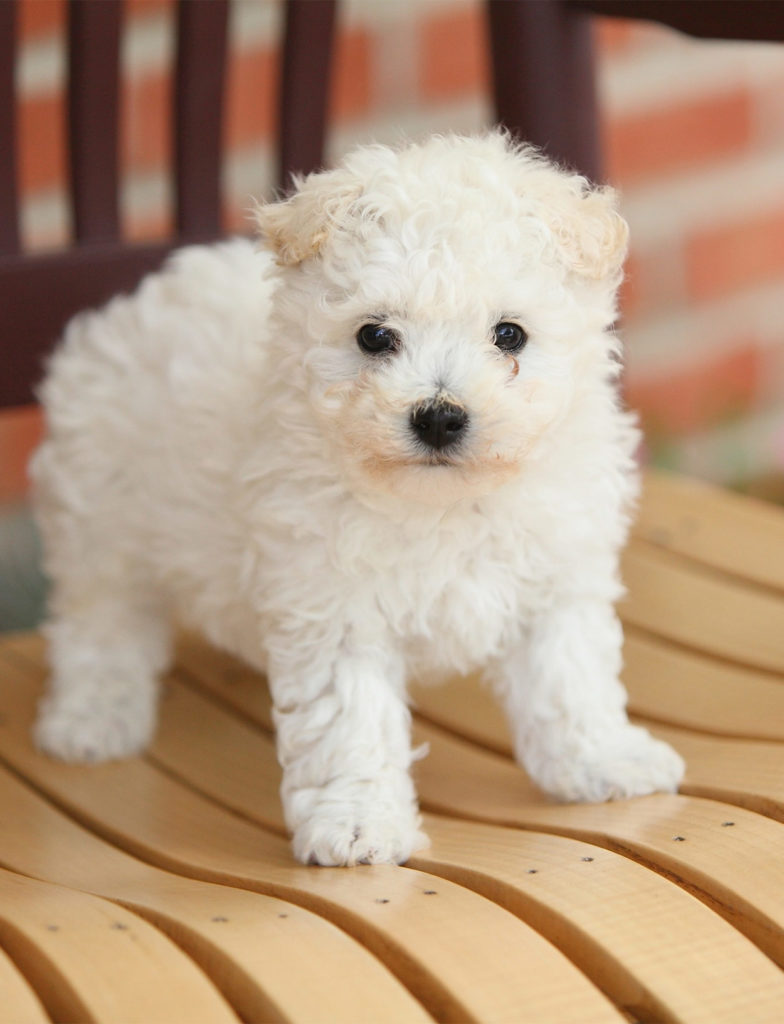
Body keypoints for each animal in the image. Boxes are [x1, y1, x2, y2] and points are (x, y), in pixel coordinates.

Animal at [30, 128, 683, 864]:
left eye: (509, 334)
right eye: (375, 336)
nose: (439, 417)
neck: (443, 502)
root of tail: (135, 301)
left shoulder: (557, 580)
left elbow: (571, 683)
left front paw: (604, 761)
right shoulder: (334, 608)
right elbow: (350, 725)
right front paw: (358, 824)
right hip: (100, 514)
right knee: (100, 622)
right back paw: (93, 719)